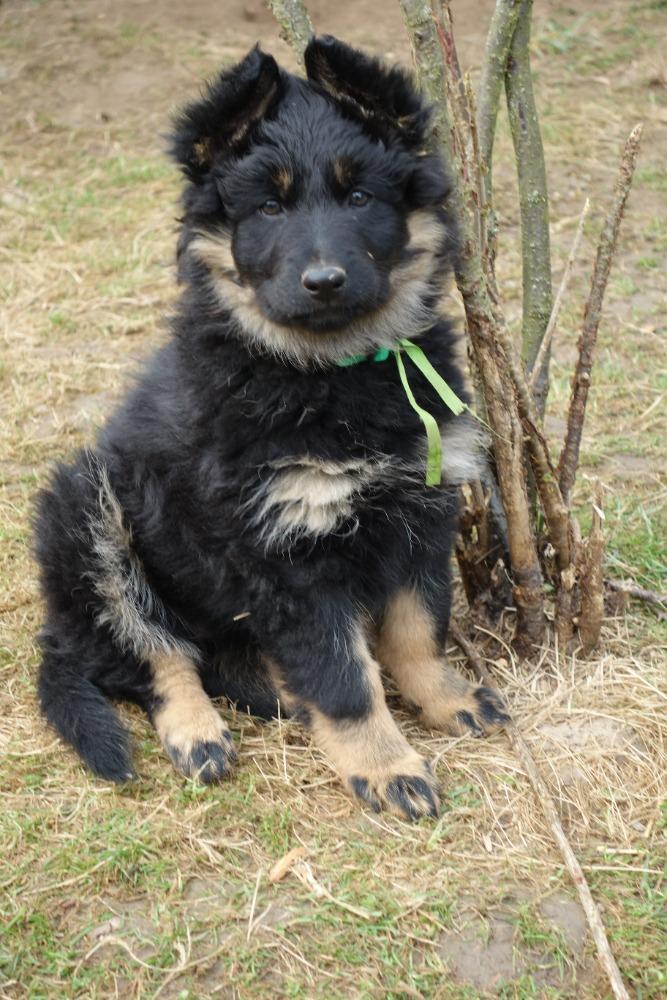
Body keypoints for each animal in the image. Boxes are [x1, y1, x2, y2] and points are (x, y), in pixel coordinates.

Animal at [34, 36, 508, 821]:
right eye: (268, 207)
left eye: (358, 197)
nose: (324, 281)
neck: (330, 369)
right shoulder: (287, 552)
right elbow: (343, 676)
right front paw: (385, 766)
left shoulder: (420, 509)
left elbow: (417, 628)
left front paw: (447, 698)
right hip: (84, 507)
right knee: (150, 653)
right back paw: (197, 730)